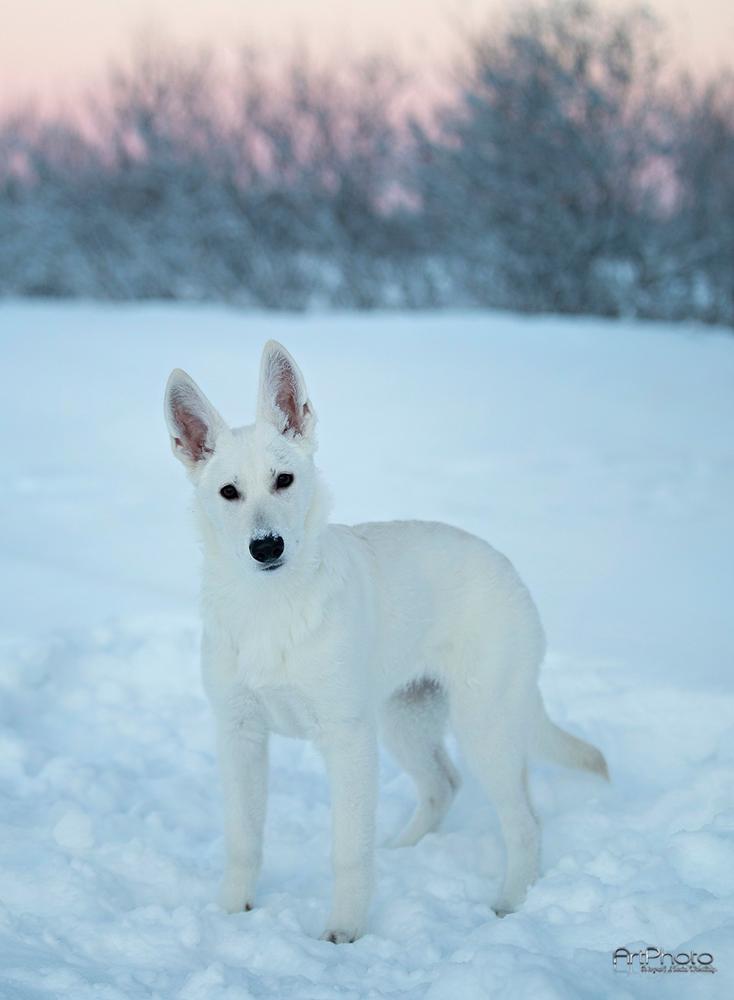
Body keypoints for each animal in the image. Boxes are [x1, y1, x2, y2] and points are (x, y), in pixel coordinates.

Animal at [167, 340, 608, 940]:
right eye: (228, 492)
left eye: (284, 480)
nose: (266, 546)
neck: (273, 608)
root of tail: (507, 567)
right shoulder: (239, 734)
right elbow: (243, 838)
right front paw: (233, 912)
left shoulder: (347, 738)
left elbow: (349, 850)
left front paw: (343, 932)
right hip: (406, 718)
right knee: (444, 784)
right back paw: (403, 851)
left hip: (483, 727)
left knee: (525, 823)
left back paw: (509, 903)